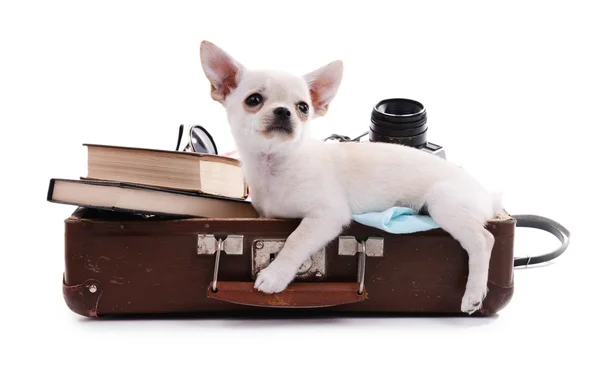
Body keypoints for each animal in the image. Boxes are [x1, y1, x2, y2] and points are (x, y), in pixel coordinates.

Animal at [198, 40, 502, 314]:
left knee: (483, 240)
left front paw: (275, 275)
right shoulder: (267, 215)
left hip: (444, 202)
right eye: (254, 100)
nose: (284, 111)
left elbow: (296, 239)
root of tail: (488, 195)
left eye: (303, 107)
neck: (275, 164)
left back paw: (474, 294)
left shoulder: (327, 215)